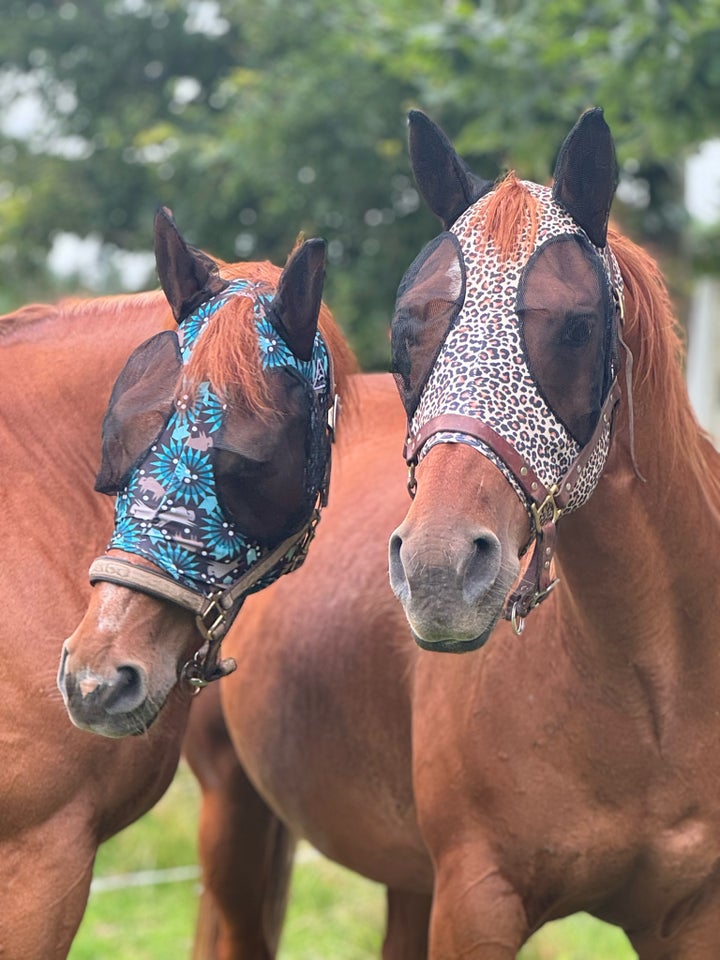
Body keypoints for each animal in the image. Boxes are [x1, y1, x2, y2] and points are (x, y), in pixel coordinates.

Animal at [184, 109, 720, 956]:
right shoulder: (477, 899)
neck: (652, 685)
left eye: (578, 328)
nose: (439, 573)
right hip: (234, 815)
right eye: (408, 330)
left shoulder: (693, 913)